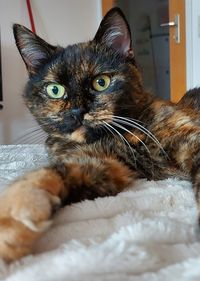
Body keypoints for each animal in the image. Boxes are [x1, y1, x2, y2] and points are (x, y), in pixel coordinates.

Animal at [0, 6, 200, 260]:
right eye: (55, 90)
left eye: (101, 82)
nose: (77, 111)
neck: (116, 137)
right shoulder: (102, 164)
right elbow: (47, 174)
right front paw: (12, 220)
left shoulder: (189, 137)